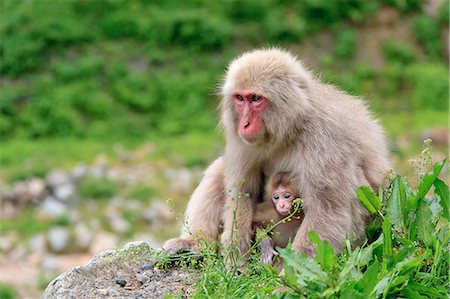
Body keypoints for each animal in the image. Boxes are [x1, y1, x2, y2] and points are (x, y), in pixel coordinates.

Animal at [163, 48, 392, 258]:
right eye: (240, 98)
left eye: (256, 98)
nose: (244, 124)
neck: (289, 129)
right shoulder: (243, 142)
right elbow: (243, 191)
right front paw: (236, 256)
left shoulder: (325, 140)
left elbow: (328, 210)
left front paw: (290, 275)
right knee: (219, 170)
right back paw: (195, 243)